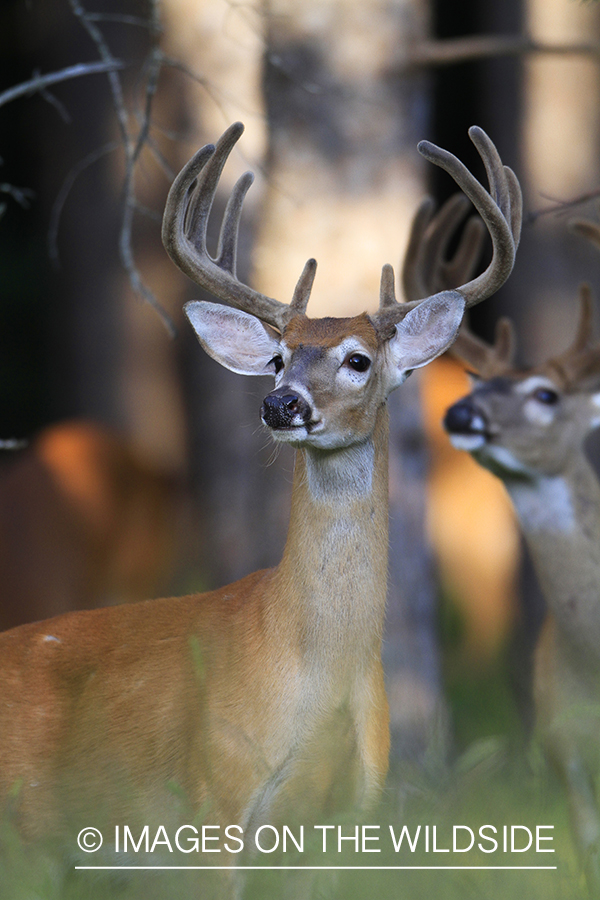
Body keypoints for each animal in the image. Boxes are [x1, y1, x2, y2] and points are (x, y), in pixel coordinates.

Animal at [0, 122, 521, 866]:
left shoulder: (349, 815)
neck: (318, 674)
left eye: (358, 359)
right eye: (278, 357)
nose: (281, 403)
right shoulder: (211, 792)